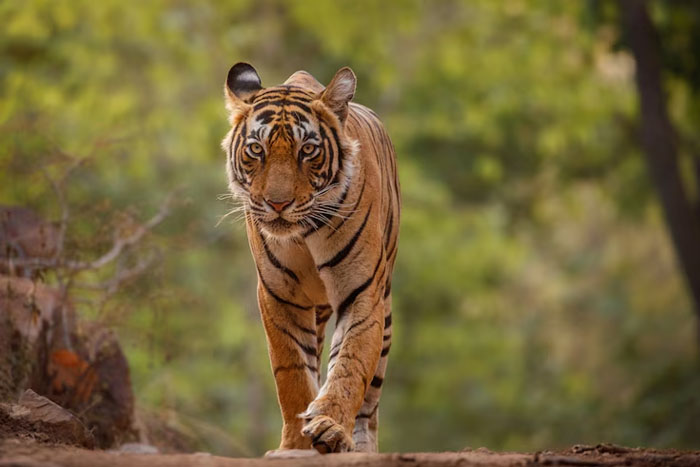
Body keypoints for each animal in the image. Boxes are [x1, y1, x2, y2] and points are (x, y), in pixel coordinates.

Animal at [221, 62, 400, 455]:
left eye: (308, 150)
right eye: (256, 149)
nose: (277, 204)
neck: (303, 235)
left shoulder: (362, 291)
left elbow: (350, 363)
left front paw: (330, 427)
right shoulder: (278, 296)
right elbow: (292, 374)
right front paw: (294, 445)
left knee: (370, 402)